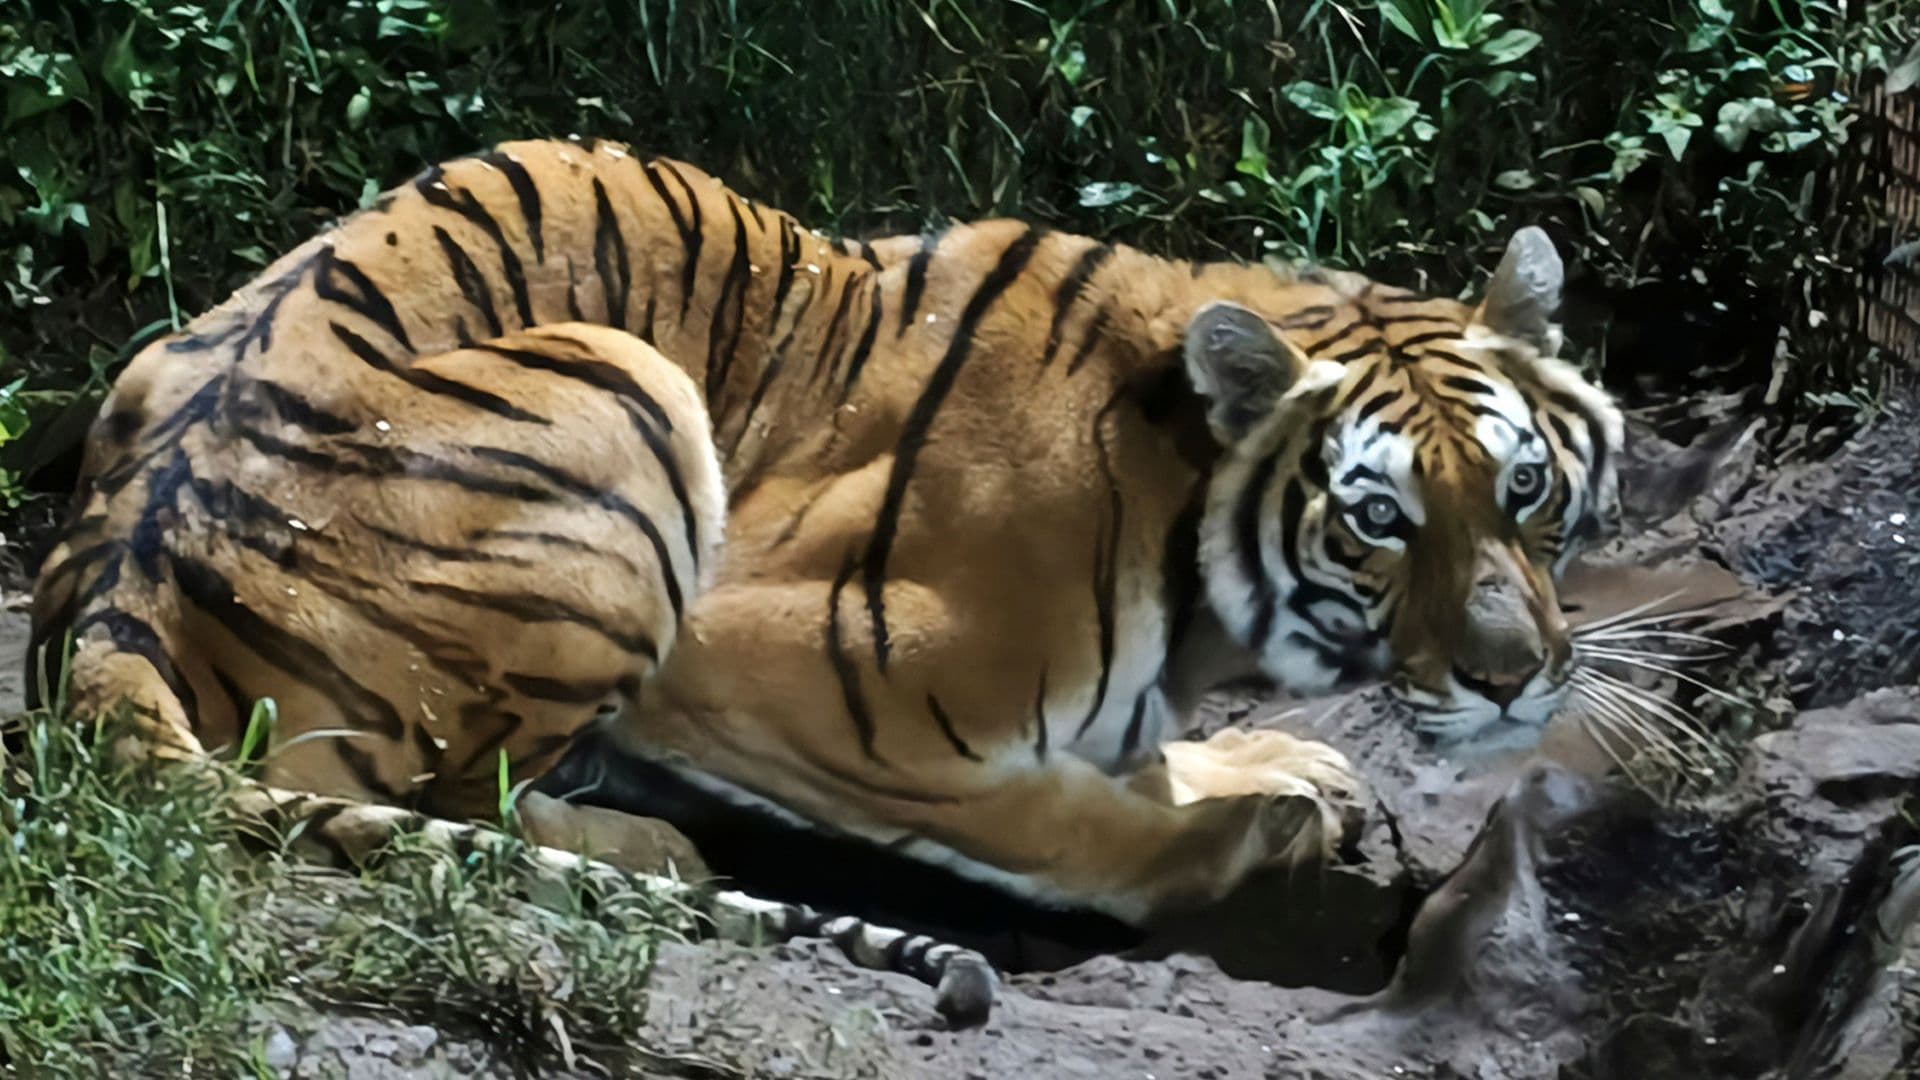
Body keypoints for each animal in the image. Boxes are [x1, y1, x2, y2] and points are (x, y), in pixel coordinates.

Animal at [28, 136, 1622, 1010]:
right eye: (1378, 518)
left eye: (1525, 489)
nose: (1514, 681)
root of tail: (108, 606)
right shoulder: (782, 662)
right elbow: (1058, 823)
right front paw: (1253, 826)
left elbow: (1146, 755)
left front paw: (1288, 767)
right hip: (626, 386)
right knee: (431, 791)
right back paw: (645, 841)